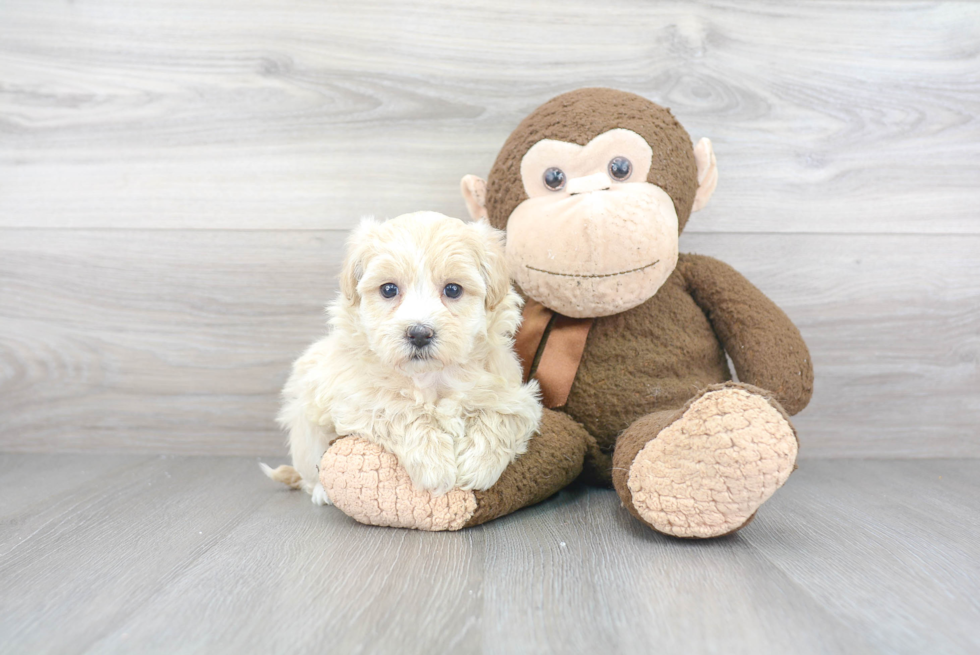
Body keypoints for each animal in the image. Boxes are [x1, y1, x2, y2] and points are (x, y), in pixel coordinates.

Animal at [264, 213, 544, 504]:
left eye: (453, 290)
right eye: (389, 289)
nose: (419, 333)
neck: (429, 375)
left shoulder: (514, 395)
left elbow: (501, 416)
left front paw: (479, 465)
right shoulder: (357, 397)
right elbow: (401, 410)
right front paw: (435, 465)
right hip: (305, 423)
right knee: (310, 469)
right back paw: (321, 491)